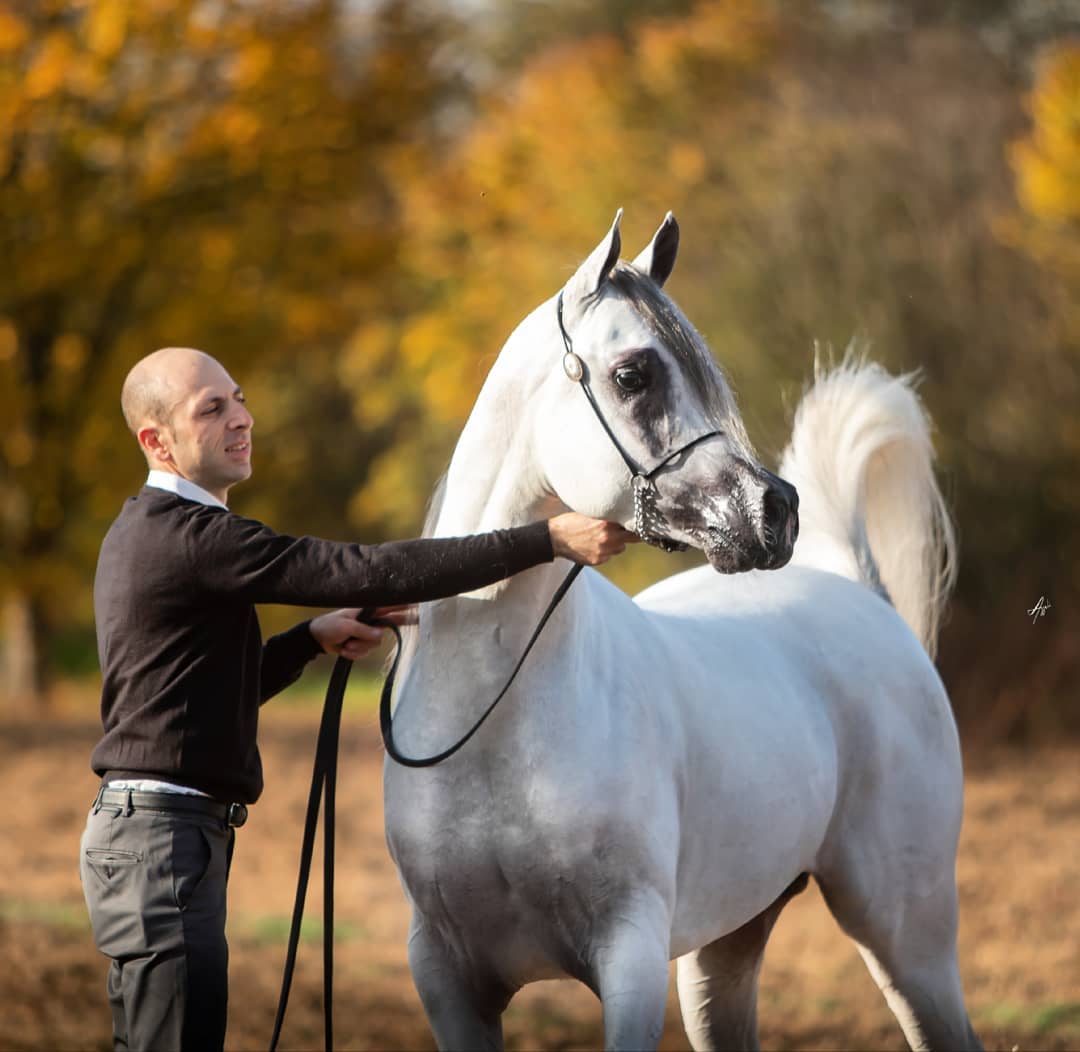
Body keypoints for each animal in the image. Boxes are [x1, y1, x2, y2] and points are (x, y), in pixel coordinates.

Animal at [382, 210, 981, 1052]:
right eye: (634, 374)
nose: (774, 513)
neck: (493, 726)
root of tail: (857, 586)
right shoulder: (445, 977)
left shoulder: (629, 959)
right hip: (728, 944)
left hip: (908, 935)